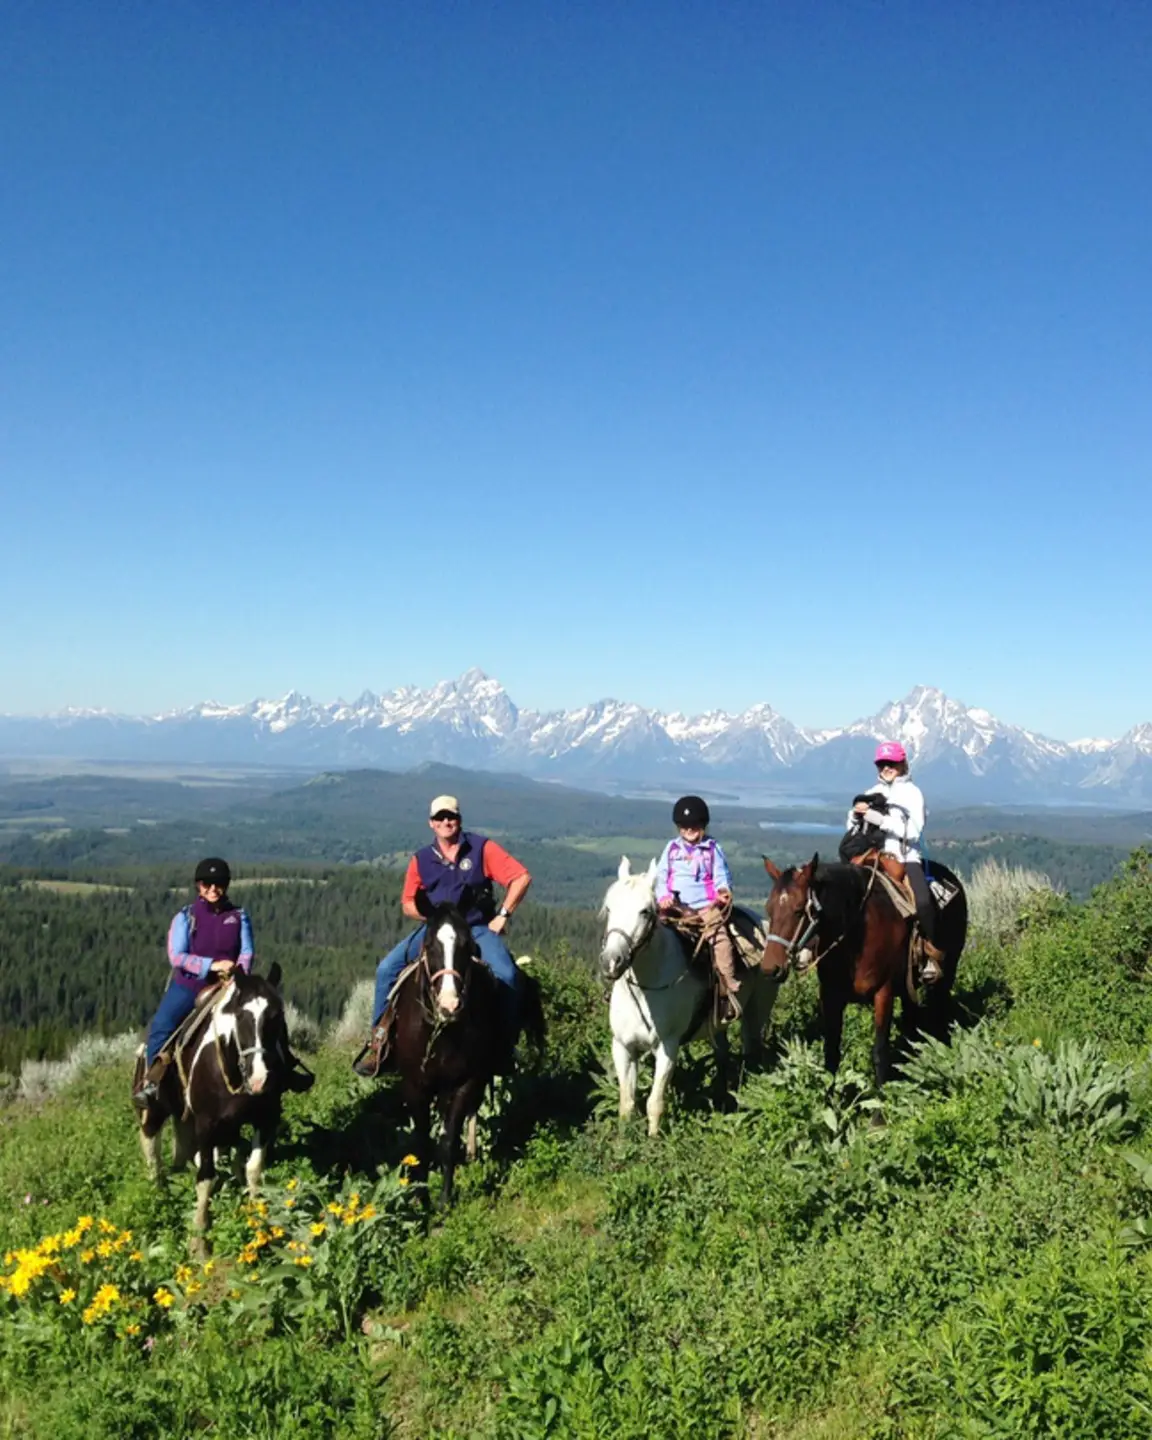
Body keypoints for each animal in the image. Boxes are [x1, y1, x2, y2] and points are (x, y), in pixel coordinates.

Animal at [391, 892, 544, 1198]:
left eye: (467, 945)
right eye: (429, 945)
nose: (450, 1005)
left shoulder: (466, 1081)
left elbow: (448, 1141)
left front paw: (444, 1199)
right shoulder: (415, 1086)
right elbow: (421, 1145)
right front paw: (422, 1199)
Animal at [599, 852, 777, 1134]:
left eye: (645, 911)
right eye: (609, 908)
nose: (611, 962)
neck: (646, 988)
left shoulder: (667, 1047)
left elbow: (654, 1102)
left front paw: (653, 1140)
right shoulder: (622, 1046)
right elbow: (627, 1102)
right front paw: (623, 1139)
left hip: (757, 1009)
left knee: (752, 1046)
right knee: (723, 1050)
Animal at [760, 852, 967, 1088]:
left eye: (798, 910)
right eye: (769, 909)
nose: (770, 969)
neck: (855, 935)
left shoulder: (883, 993)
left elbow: (879, 1053)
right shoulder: (830, 997)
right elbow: (831, 1053)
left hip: (947, 972)